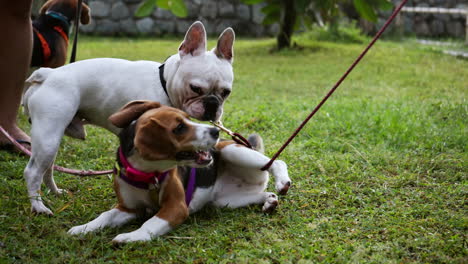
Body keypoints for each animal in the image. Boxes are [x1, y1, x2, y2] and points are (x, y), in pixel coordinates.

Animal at [68, 101, 290, 243]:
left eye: (188, 119)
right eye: (180, 127)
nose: (216, 131)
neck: (147, 174)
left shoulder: (176, 207)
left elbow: (150, 223)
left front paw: (131, 237)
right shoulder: (128, 208)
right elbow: (105, 216)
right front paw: (83, 229)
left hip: (231, 151)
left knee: (277, 161)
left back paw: (282, 182)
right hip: (224, 201)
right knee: (261, 192)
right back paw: (269, 200)